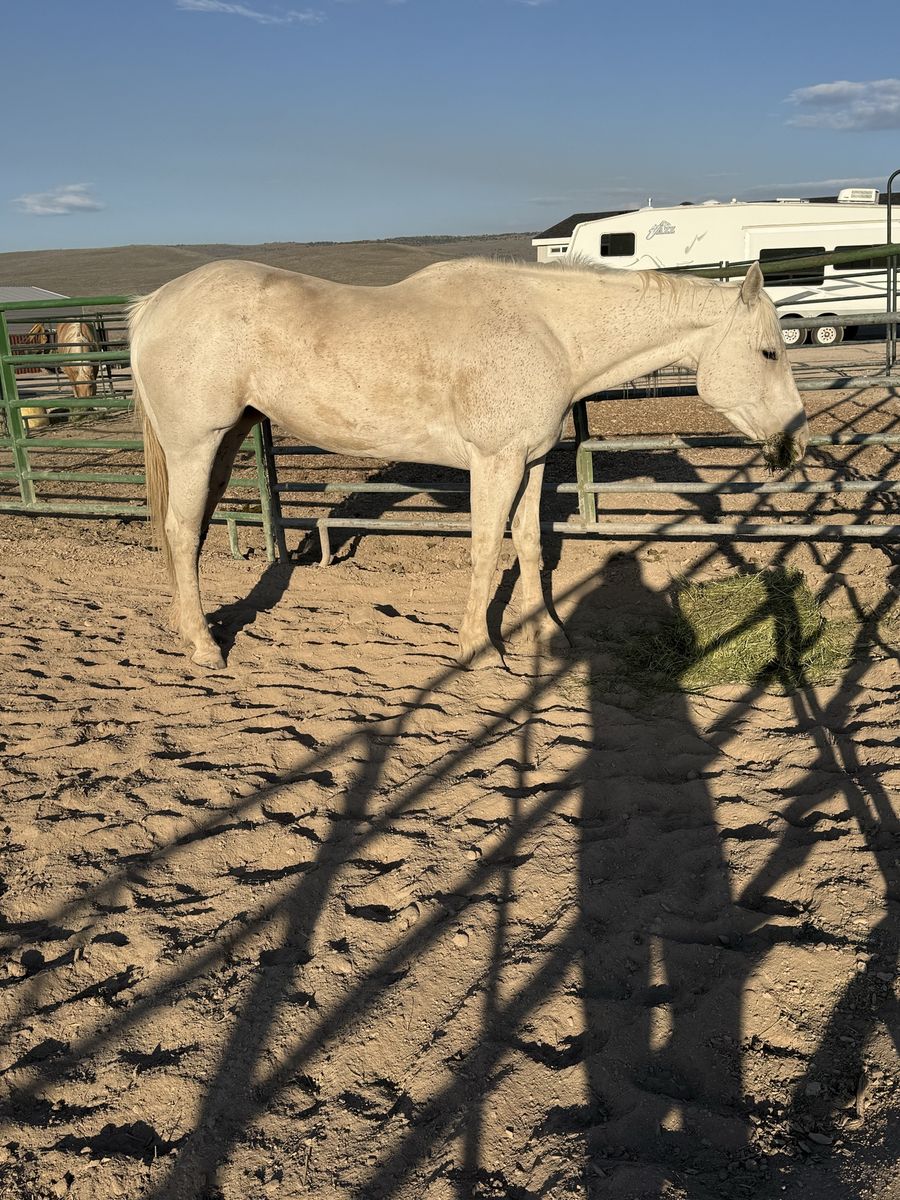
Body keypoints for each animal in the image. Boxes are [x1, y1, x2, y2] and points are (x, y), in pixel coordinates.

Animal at [129, 257, 808, 670]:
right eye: (769, 352)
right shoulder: (495, 463)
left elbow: (529, 544)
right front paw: (479, 649)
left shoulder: (533, 462)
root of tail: (151, 305)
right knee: (182, 533)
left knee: (185, 537)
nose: (794, 443)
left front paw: (547, 635)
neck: (548, 331)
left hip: (225, 443)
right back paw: (205, 647)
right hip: (196, 445)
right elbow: (485, 547)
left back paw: (188, 629)